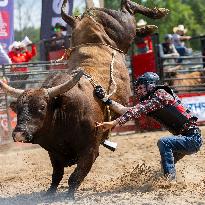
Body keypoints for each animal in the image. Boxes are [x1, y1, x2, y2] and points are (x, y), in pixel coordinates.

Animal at [0, 0, 168, 200]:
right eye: (18, 109)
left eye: (41, 107)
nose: (19, 133)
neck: (63, 110)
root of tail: (87, 15)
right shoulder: (53, 153)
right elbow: (57, 174)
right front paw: (49, 192)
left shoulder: (90, 151)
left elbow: (75, 176)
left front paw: (69, 195)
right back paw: (147, 27)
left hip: (122, 25)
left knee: (127, 8)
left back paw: (157, 14)